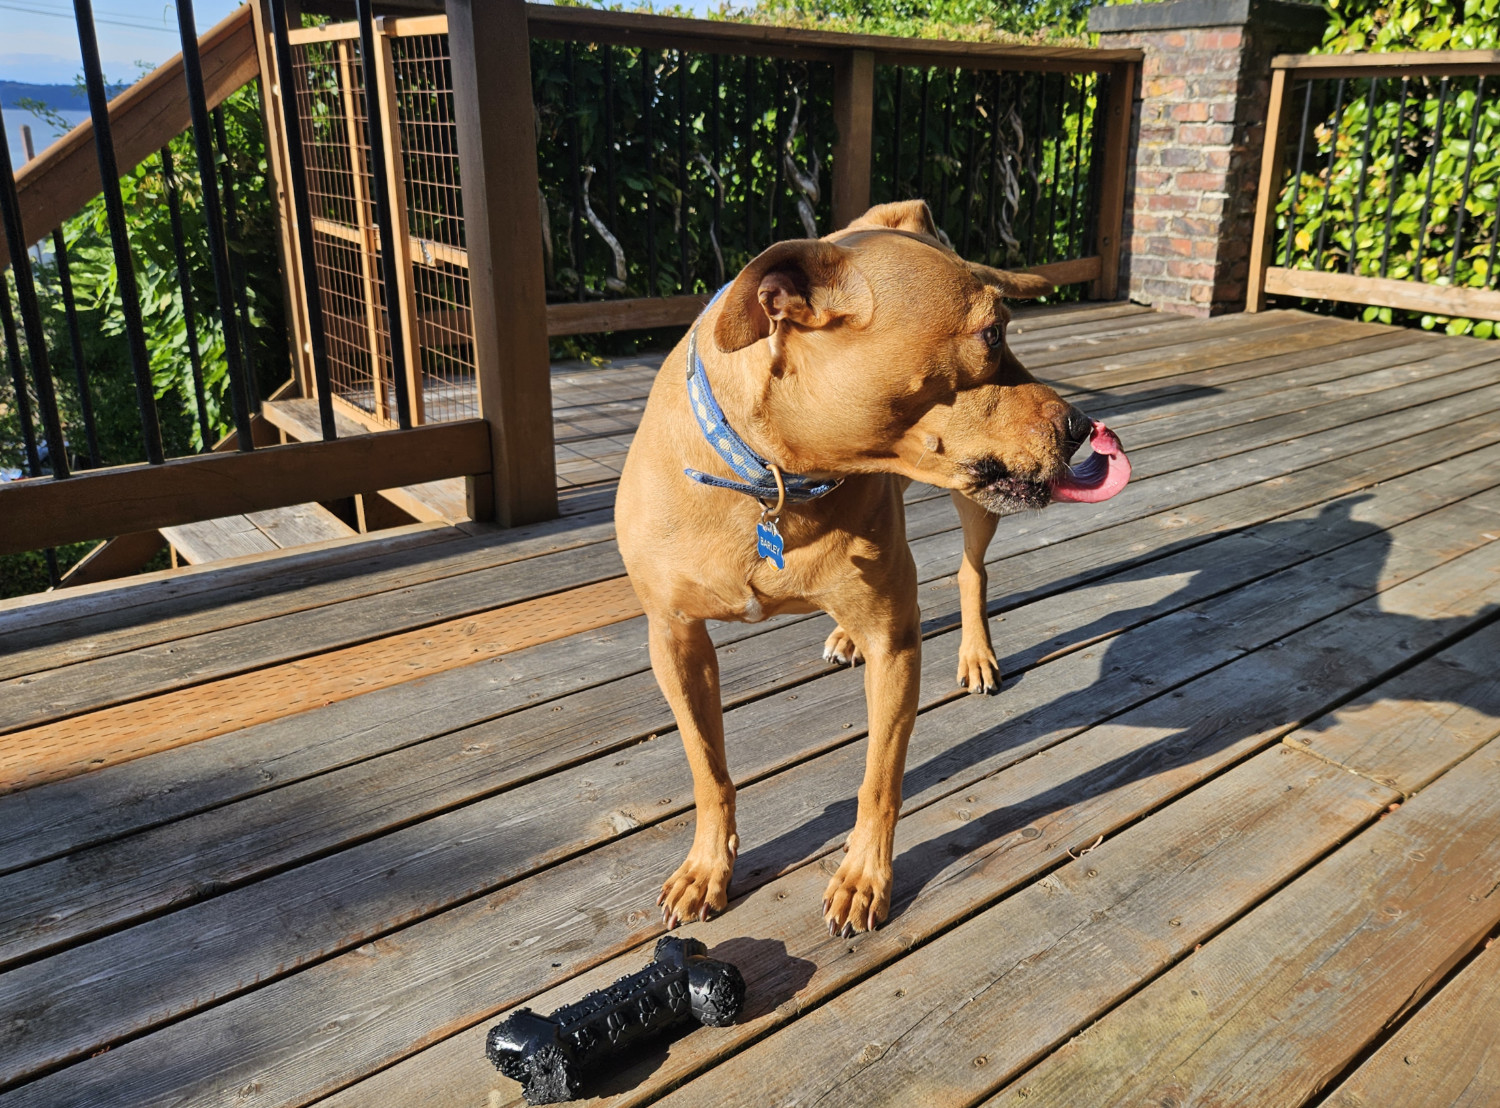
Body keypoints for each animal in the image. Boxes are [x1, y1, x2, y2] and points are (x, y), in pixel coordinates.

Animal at [615, 197, 1122, 935]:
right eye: (992, 334)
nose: (1083, 426)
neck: (778, 478)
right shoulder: (675, 638)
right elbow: (708, 770)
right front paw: (708, 866)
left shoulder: (895, 642)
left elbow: (879, 779)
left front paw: (863, 877)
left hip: (975, 508)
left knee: (971, 572)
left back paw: (975, 652)